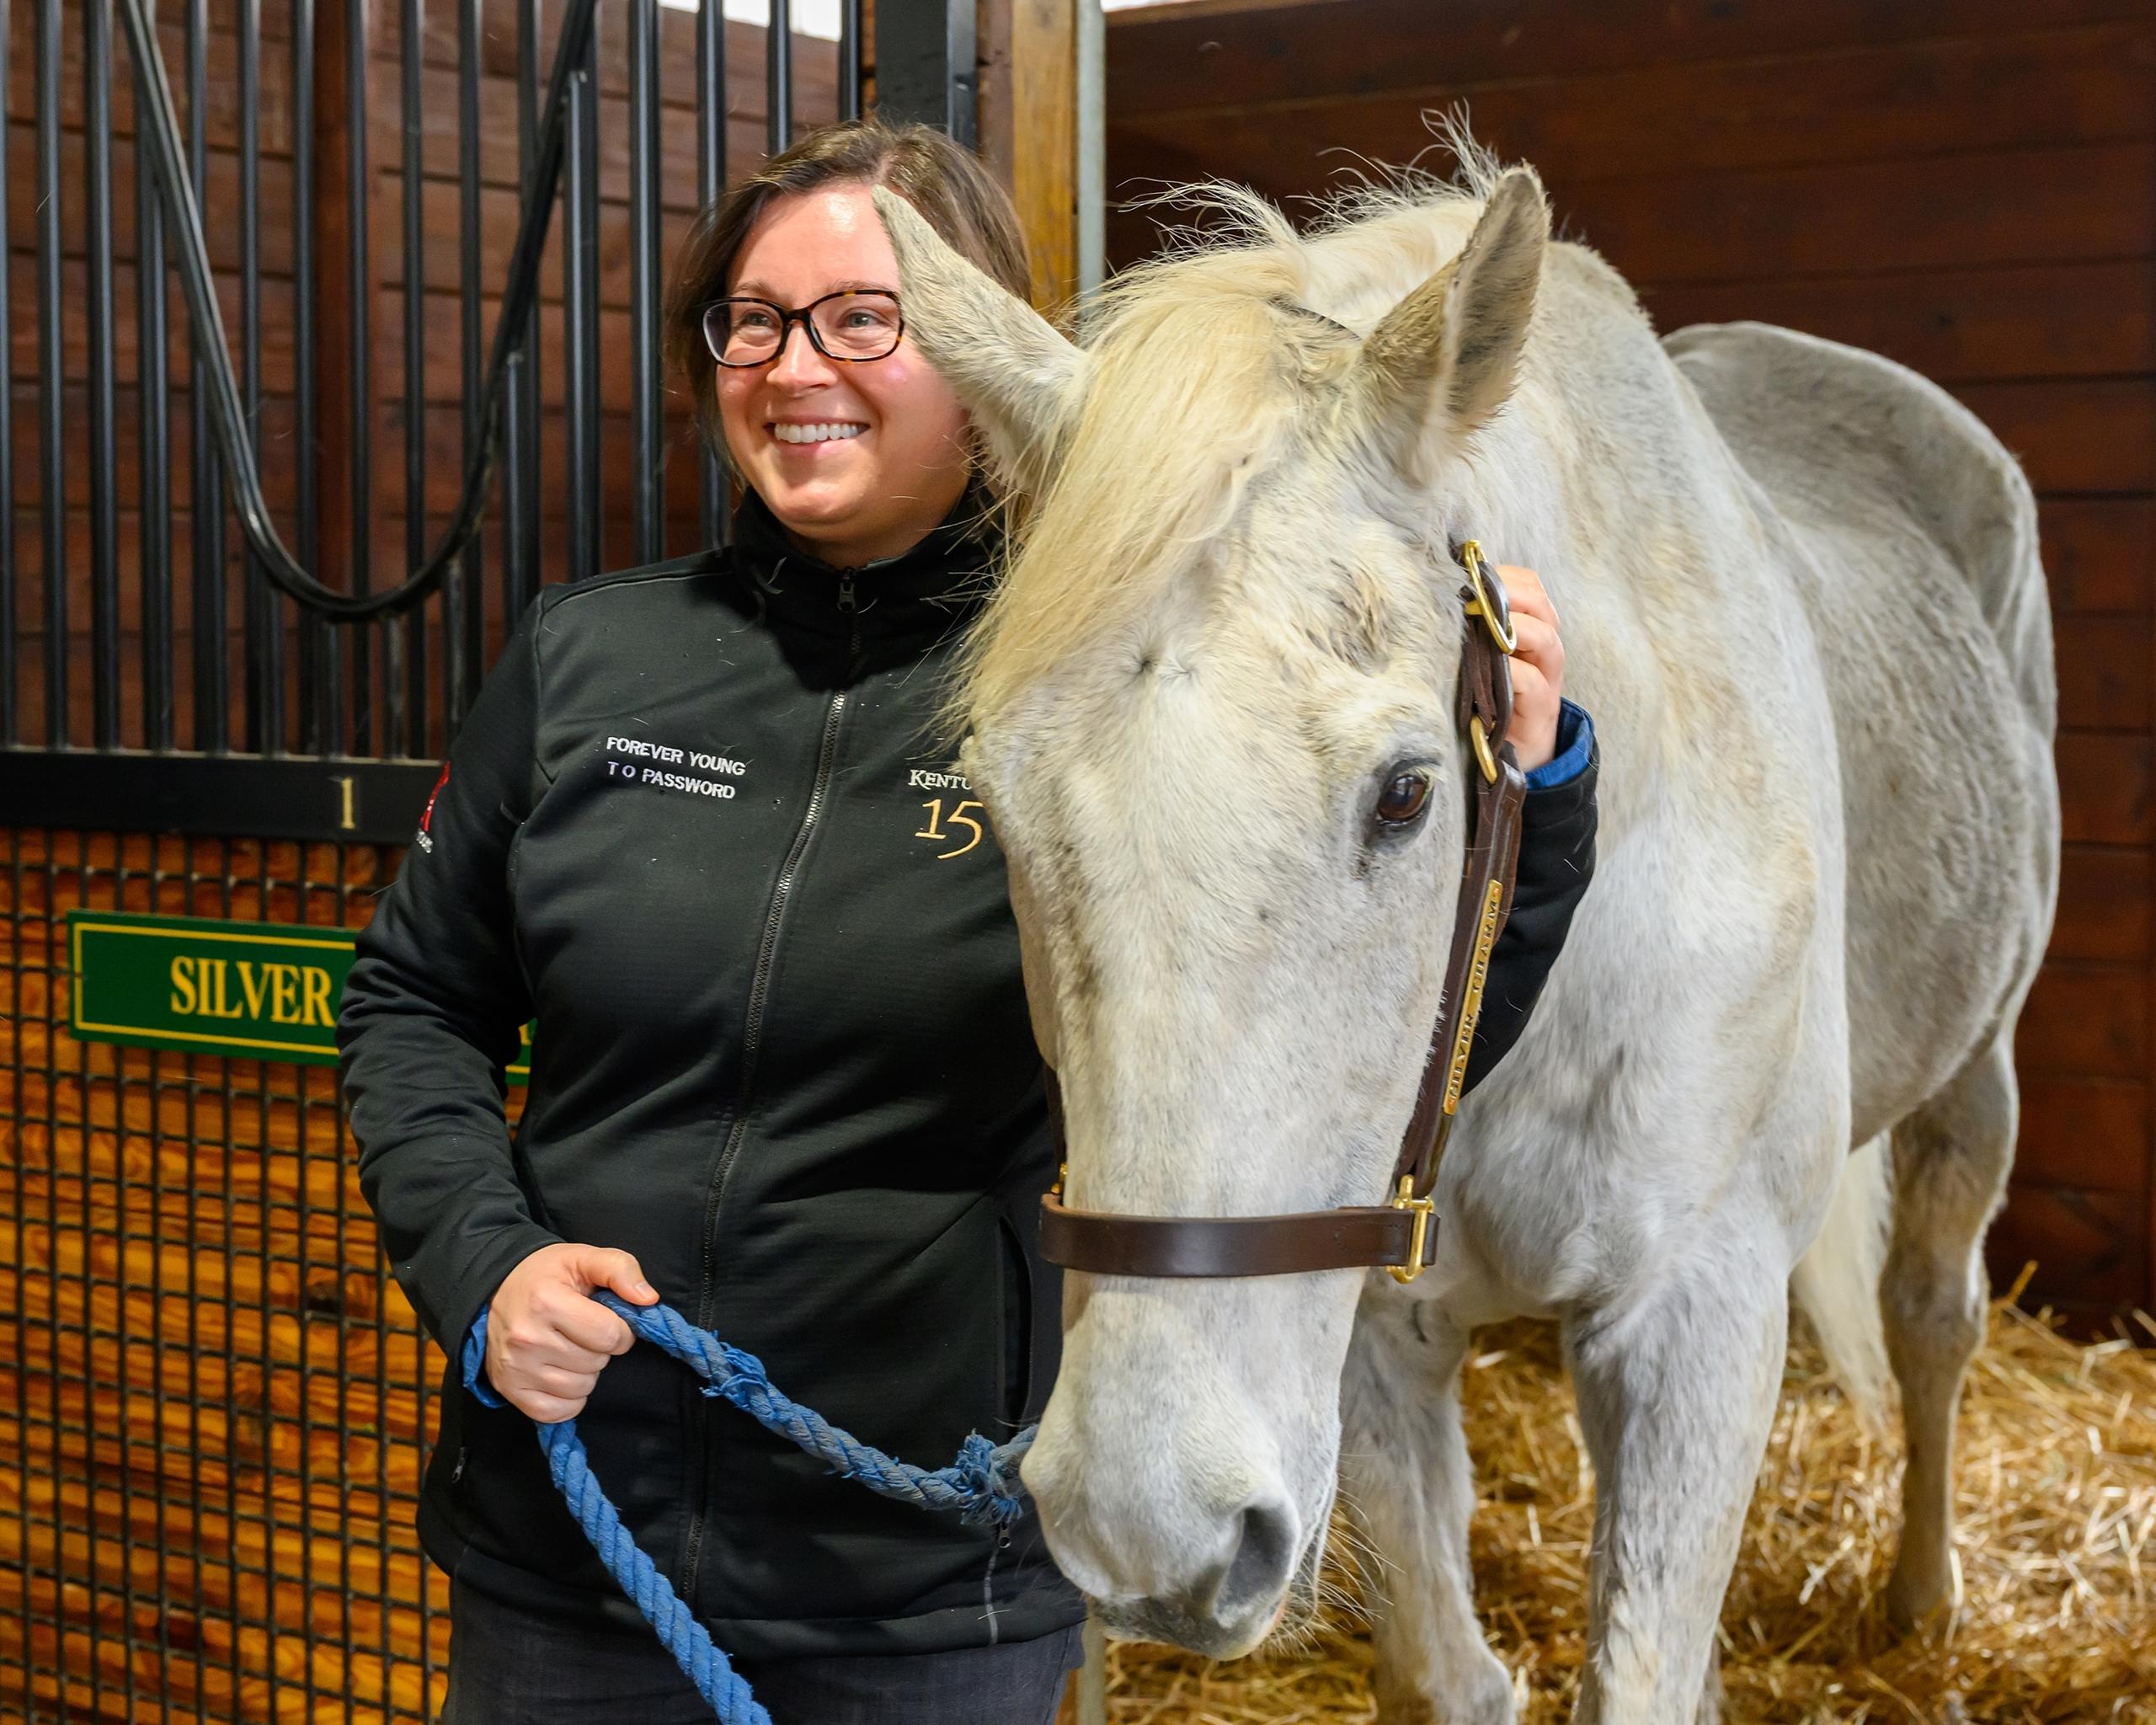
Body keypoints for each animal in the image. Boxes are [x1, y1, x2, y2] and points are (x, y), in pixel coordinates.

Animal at [870, 151, 2059, 1724]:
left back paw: (1924, 1600)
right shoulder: (1375, 1340)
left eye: (1406, 792)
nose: (1144, 1522)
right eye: (995, 805)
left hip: (1978, 1069)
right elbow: (1453, 1675)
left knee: (1934, 1312)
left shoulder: (1700, 1315)